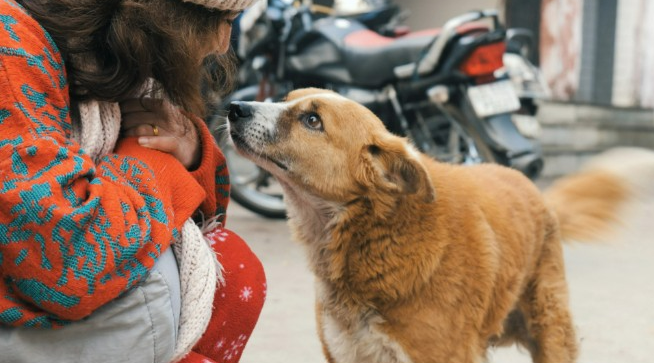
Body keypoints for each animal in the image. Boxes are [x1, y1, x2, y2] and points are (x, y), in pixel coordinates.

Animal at [228, 88, 648, 363]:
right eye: (285, 97)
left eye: (312, 120)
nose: (234, 107)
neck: (377, 236)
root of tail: (537, 193)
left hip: (551, 329)